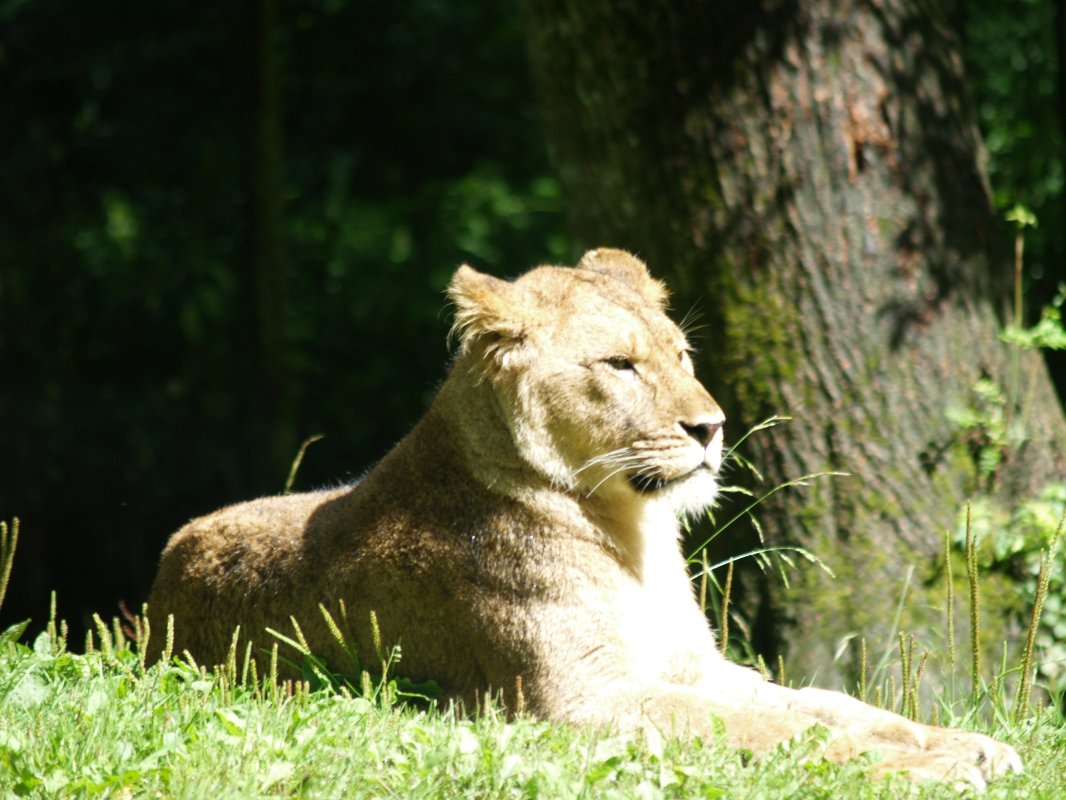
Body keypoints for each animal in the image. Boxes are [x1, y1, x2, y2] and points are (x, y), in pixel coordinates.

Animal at [147, 248, 1021, 789]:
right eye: (619, 365)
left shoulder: (695, 667)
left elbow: (823, 705)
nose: (712, 427)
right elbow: (766, 732)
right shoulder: (575, 699)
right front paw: (932, 772)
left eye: (681, 355)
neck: (637, 533)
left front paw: (971, 746)